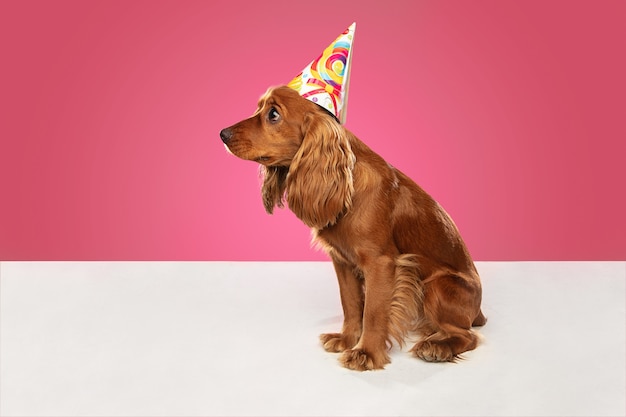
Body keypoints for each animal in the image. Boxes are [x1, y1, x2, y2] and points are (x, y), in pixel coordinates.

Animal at [221, 85, 488, 370]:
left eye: (273, 114)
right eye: (259, 107)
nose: (222, 134)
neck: (347, 185)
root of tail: (479, 311)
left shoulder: (381, 263)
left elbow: (372, 311)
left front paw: (366, 352)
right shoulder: (343, 262)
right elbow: (351, 304)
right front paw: (347, 339)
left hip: (437, 287)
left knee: (467, 335)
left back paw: (437, 347)